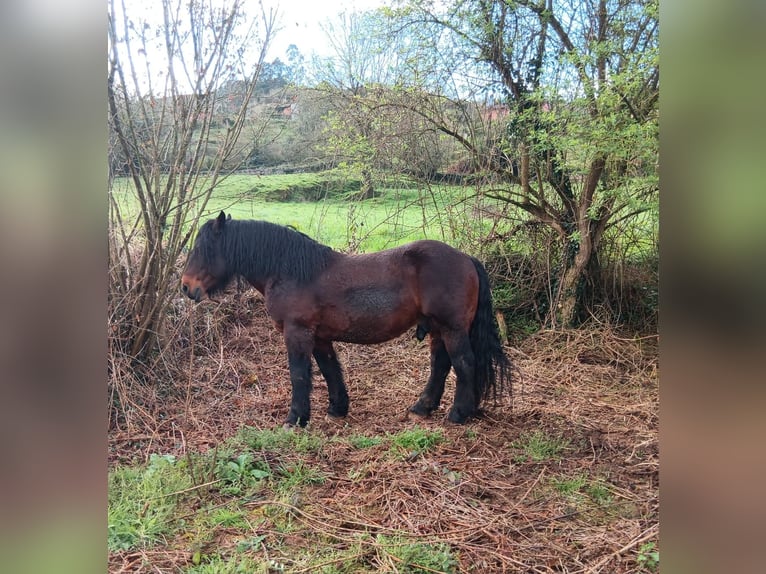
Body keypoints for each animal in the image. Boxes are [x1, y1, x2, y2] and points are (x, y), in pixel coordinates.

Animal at [181, 211, 511, 427]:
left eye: (203, 249)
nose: (186, 287)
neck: (290, 270)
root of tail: (466, 258)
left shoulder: (297, 332)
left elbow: (299, 375)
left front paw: (295, 418)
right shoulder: (320, 337)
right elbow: (330, 370)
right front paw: (337, 408)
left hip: (452, 328)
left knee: (464, 363)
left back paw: (458, 413)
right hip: (438, 329)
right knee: (441, 365)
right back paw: (422, 408)